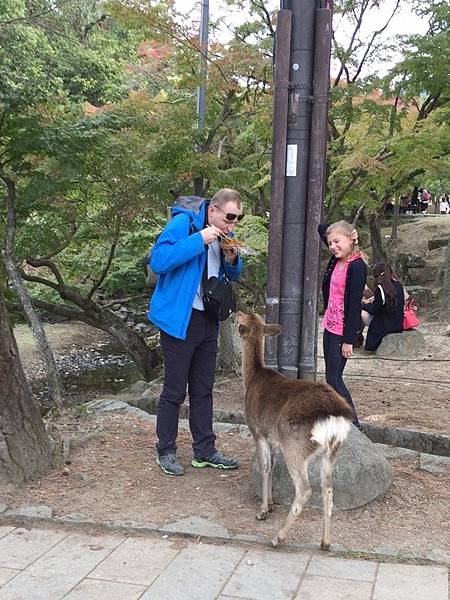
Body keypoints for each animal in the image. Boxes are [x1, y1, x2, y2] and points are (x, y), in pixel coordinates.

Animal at [236, 312, 356, 552]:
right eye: (254, 316)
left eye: (241, 318)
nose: (234, 312)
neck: (252, 378)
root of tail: (335, 416)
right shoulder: (274, 439)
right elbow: (272, 466)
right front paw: (271, 504)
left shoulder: (258, 431)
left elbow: (265, 466)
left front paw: (263, 511)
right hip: (331, 452)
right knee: (328, 491)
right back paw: (325, 542)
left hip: (295, 447)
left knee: (305, 490)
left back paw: (278, 537)